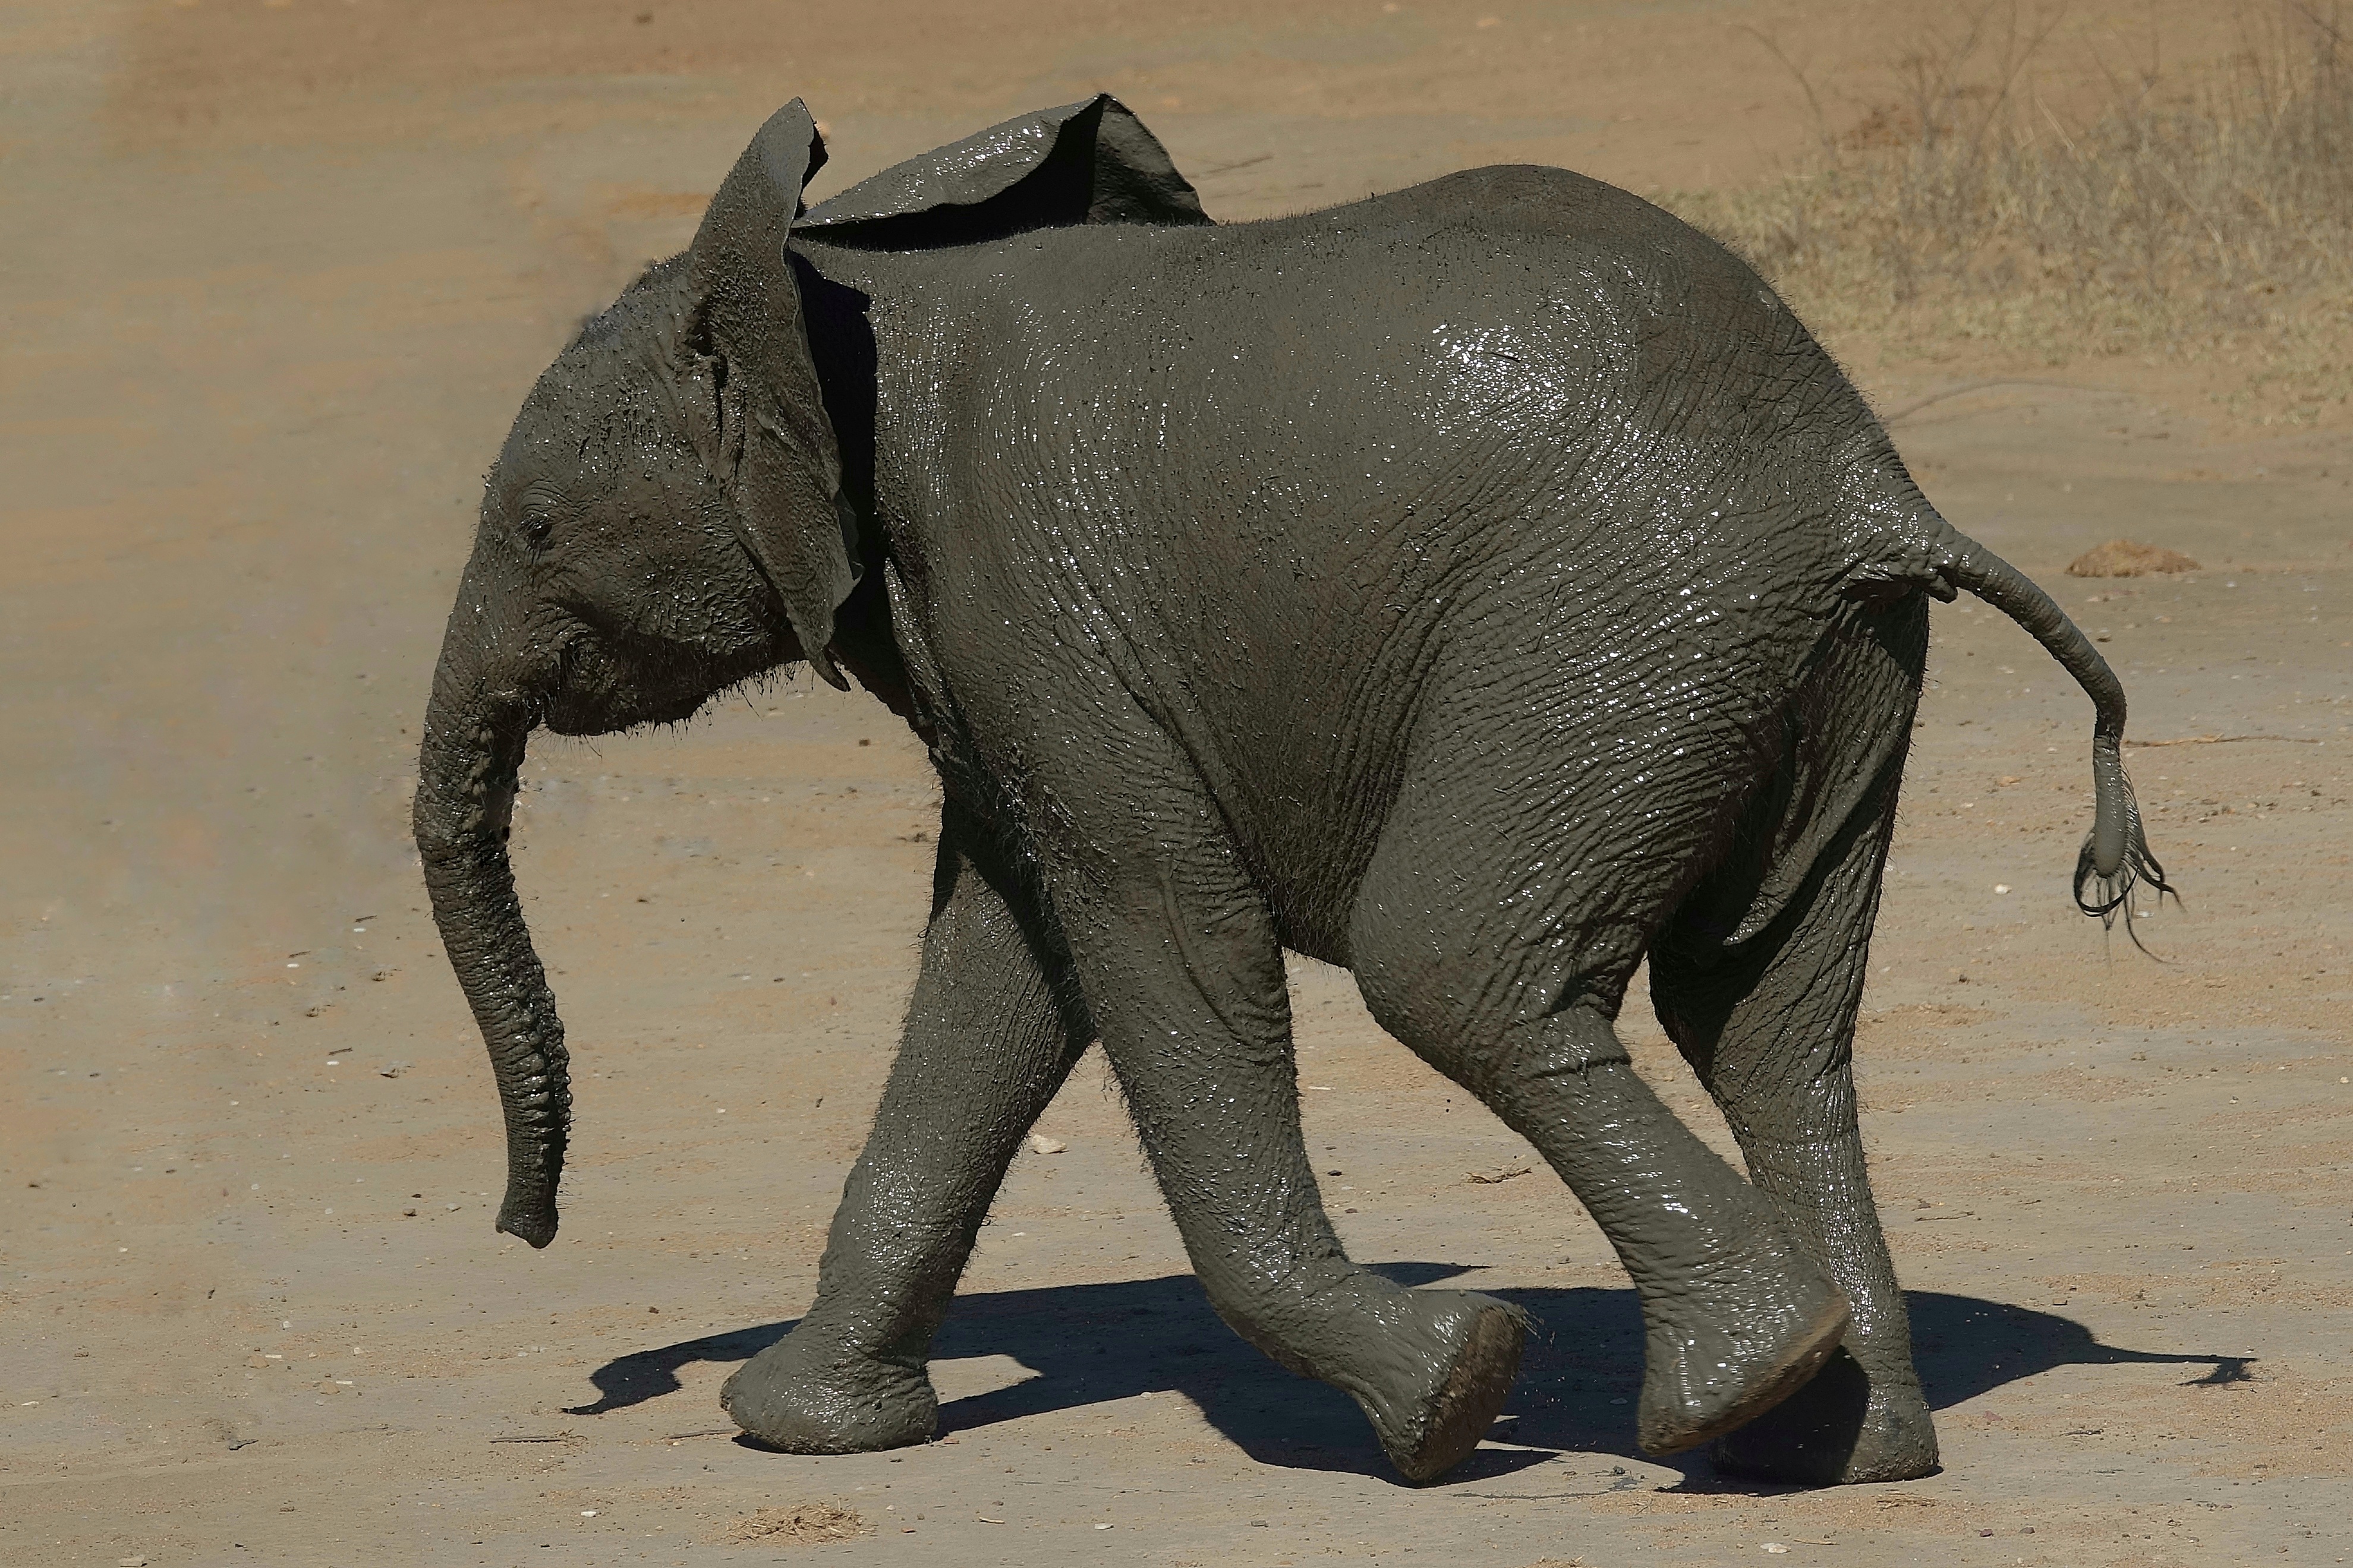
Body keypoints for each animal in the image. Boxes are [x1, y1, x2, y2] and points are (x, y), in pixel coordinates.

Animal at [415, 95, 2169, 1487]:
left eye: (537, 534)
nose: (521, 1232)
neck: (836, 297)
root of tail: (1863, 487)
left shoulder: (1032, 599)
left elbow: (1157, 935)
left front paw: (1450, 1397)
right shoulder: (1001, 655)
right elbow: (1001, 968)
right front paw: (800, 1429)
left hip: (1615, 630)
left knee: (1455, 970)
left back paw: (1730, 1394)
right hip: (1806, 667)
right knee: (1766, 1024)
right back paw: (1836, 1444)